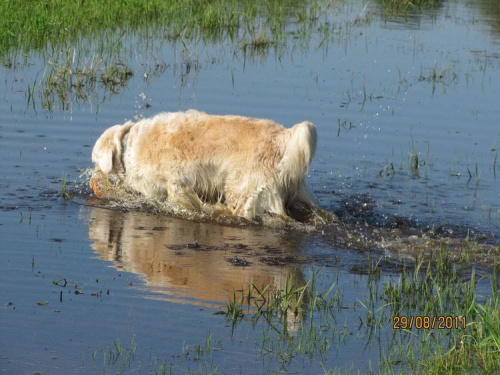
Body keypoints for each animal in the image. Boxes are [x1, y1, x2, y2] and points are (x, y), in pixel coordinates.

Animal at [92, 110, 318, 222]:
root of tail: (284, 137)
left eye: (94, 162)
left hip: (243, 191)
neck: (130, 145)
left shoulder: (170, 187)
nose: (93, 181)